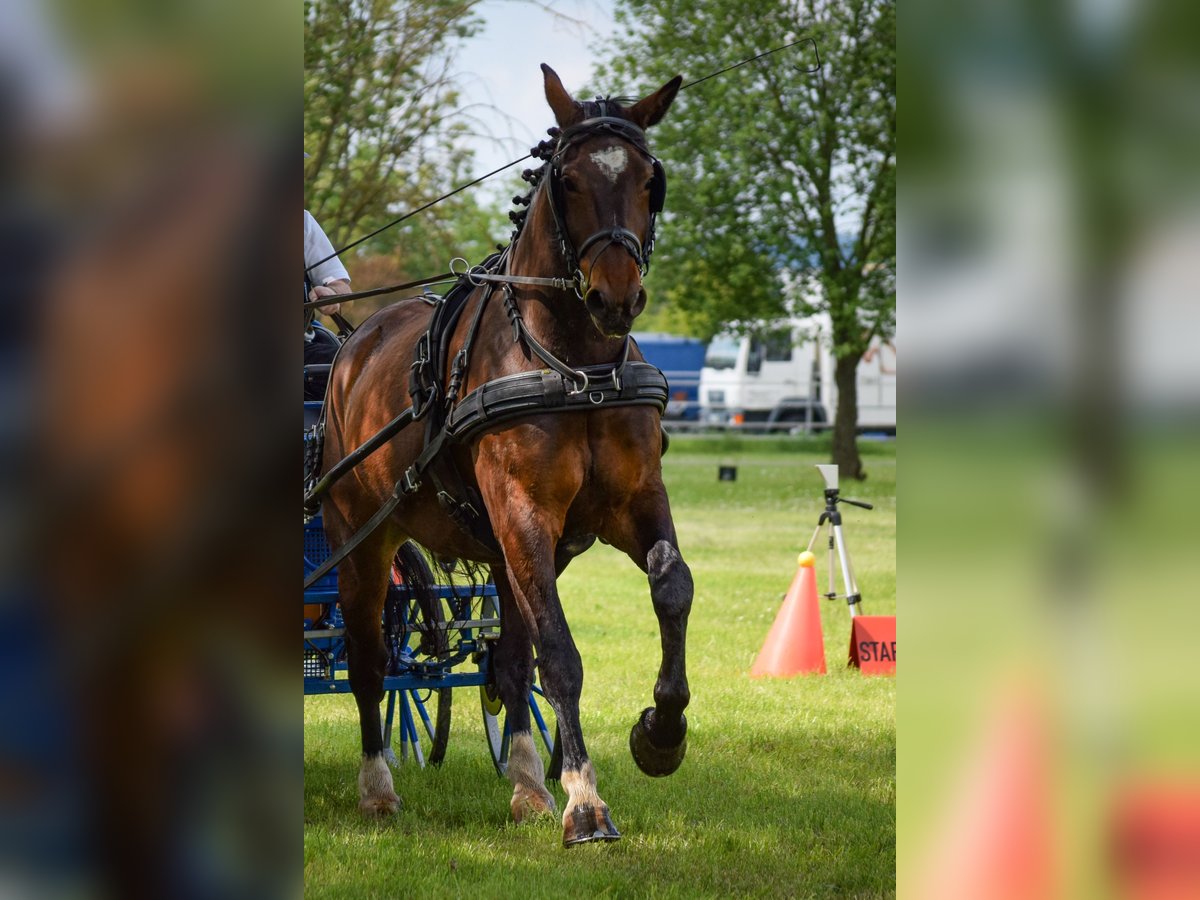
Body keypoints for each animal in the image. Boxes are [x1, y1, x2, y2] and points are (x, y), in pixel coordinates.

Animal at [321, 66, 696, 849]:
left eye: (650, 180)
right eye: (570, 181)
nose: (617, 298)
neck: (578, 366)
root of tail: (354, 340)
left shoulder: (632, 502)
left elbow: (670, 588)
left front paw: (659, 734)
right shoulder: (524, 512)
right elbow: (561, 653)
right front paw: (587, 801)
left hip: (499, 548)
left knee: (511, 658)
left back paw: (527, 782)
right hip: (359, 534)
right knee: (370, 660)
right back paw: (377, 785)